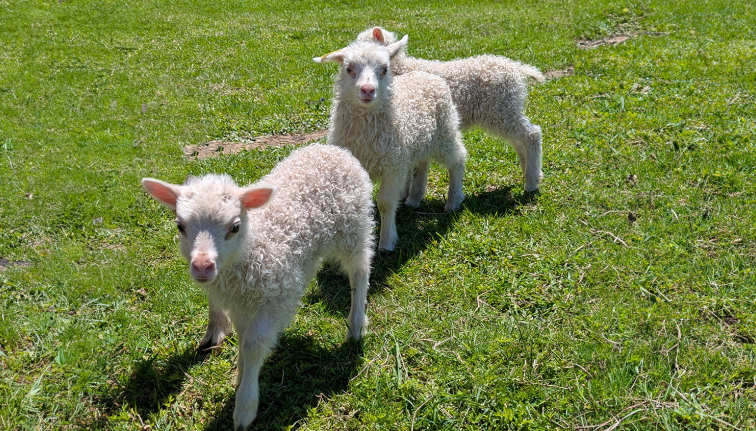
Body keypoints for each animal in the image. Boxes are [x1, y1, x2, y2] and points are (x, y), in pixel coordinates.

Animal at [141, 144, 375, 430]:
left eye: (235, 227)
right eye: (180, 226)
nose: (202, 266)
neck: (252, 250)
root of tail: (333, 149)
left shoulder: (274, 301)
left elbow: (253, 344)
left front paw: (245, 406)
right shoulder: (241, 304)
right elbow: (242, 339)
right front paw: (241, 375)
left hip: (354, 227)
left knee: (360, 270)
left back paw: (356, 325)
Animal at [314, 35, 468, 251]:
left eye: (385, 69)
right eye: (349, 68)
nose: (368, 90)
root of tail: (427, 75)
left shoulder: (392, 167)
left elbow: (385, 203)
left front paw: (387, 241)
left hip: (444, 132)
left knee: (458, 158)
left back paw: (454, 200)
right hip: (416, 143)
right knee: (421, 163)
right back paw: (413, 197)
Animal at [356, 27, 544, 192]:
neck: (401, 68)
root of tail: (516, 68)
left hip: (501, 109)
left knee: (532, 134)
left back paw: (531, 183)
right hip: (507, 109)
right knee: (519, 140)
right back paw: (530, 173)